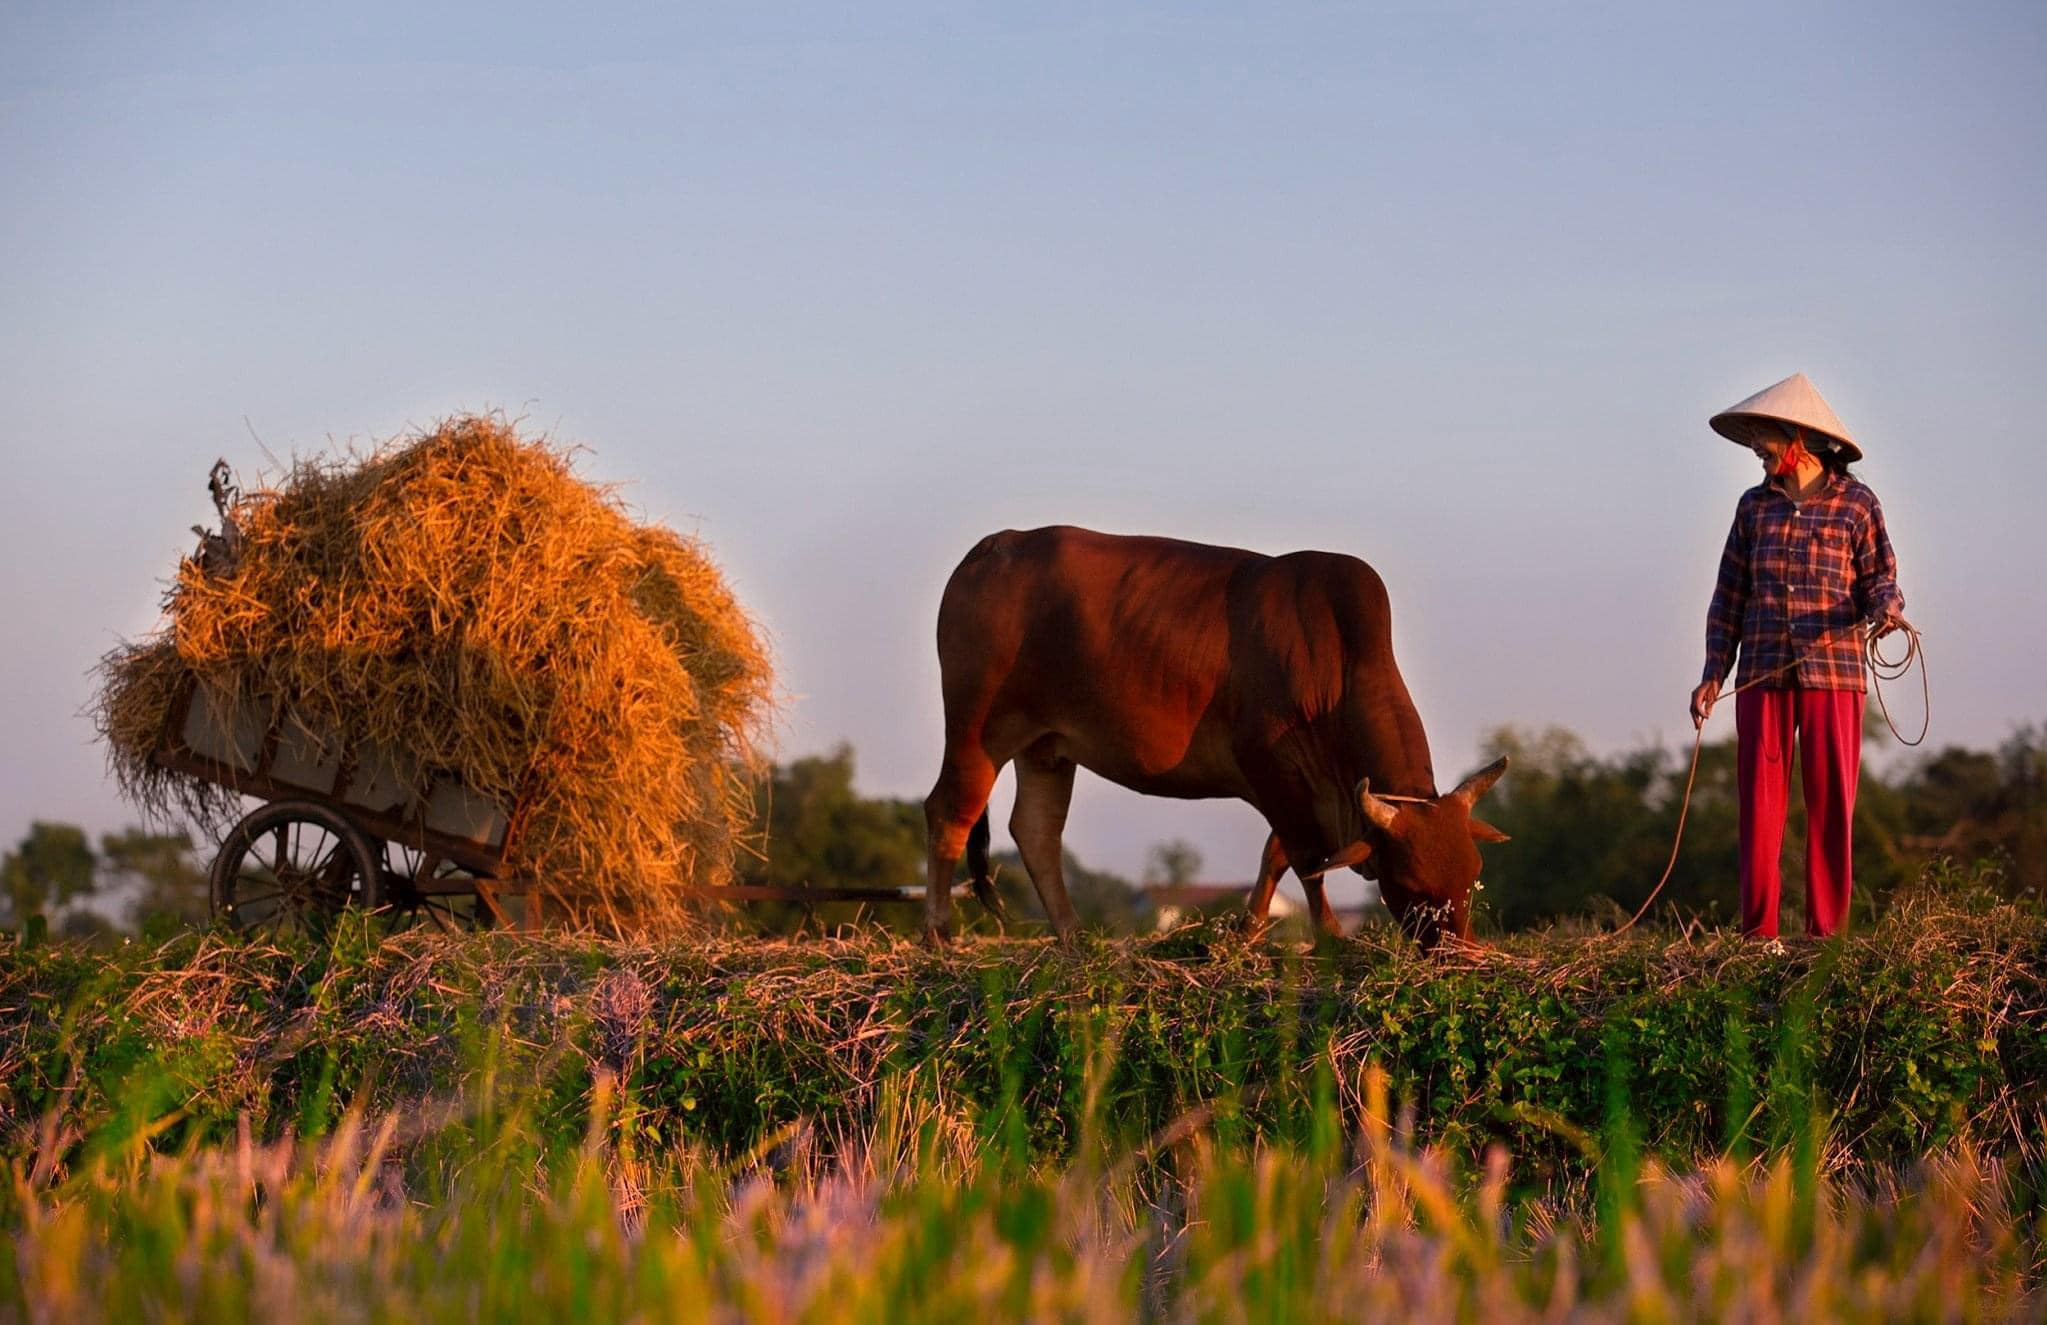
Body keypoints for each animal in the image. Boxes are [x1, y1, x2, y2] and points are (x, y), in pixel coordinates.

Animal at [925, 524, 1506, 950]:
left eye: (1474, 875)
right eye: (1410, 883)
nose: (1460, 955)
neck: (1336, 660)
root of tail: (994, 546)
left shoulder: (1300, 786)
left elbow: (1276, 856)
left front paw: (1246, 933)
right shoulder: (1271, 769)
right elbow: (1304, 857)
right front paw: (1332, 937)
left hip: (1045, 746)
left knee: (1036, 831)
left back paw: (1073, 939)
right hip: (977, 731)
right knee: (949, 812)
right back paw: (939, 933)